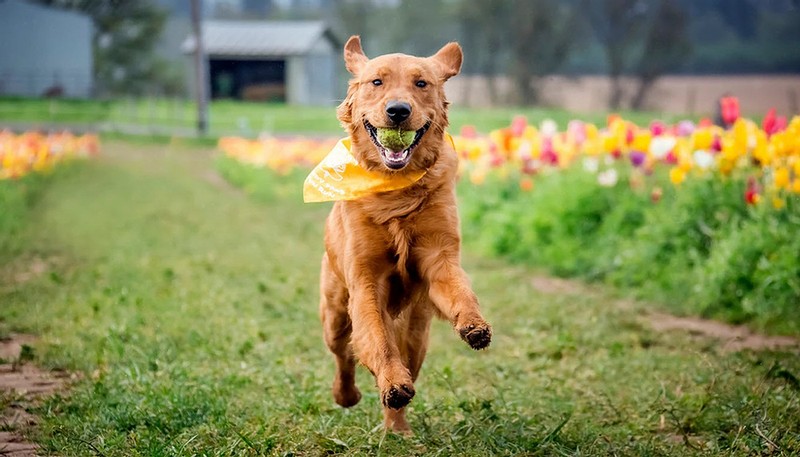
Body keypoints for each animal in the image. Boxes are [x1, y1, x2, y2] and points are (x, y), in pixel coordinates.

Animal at [320, 35, 494, 432]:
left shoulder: (439, 258)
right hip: (334, 312)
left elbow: (461, 292)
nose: (398, 111)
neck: (396, 187)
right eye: (376, 82)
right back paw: (347, 395)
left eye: (421, 83)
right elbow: (378, 343)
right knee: (345, 354)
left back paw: (397, 429)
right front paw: (391, 384)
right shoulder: (364, 280)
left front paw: (473, 325)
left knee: (405, 358)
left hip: (418, 332)